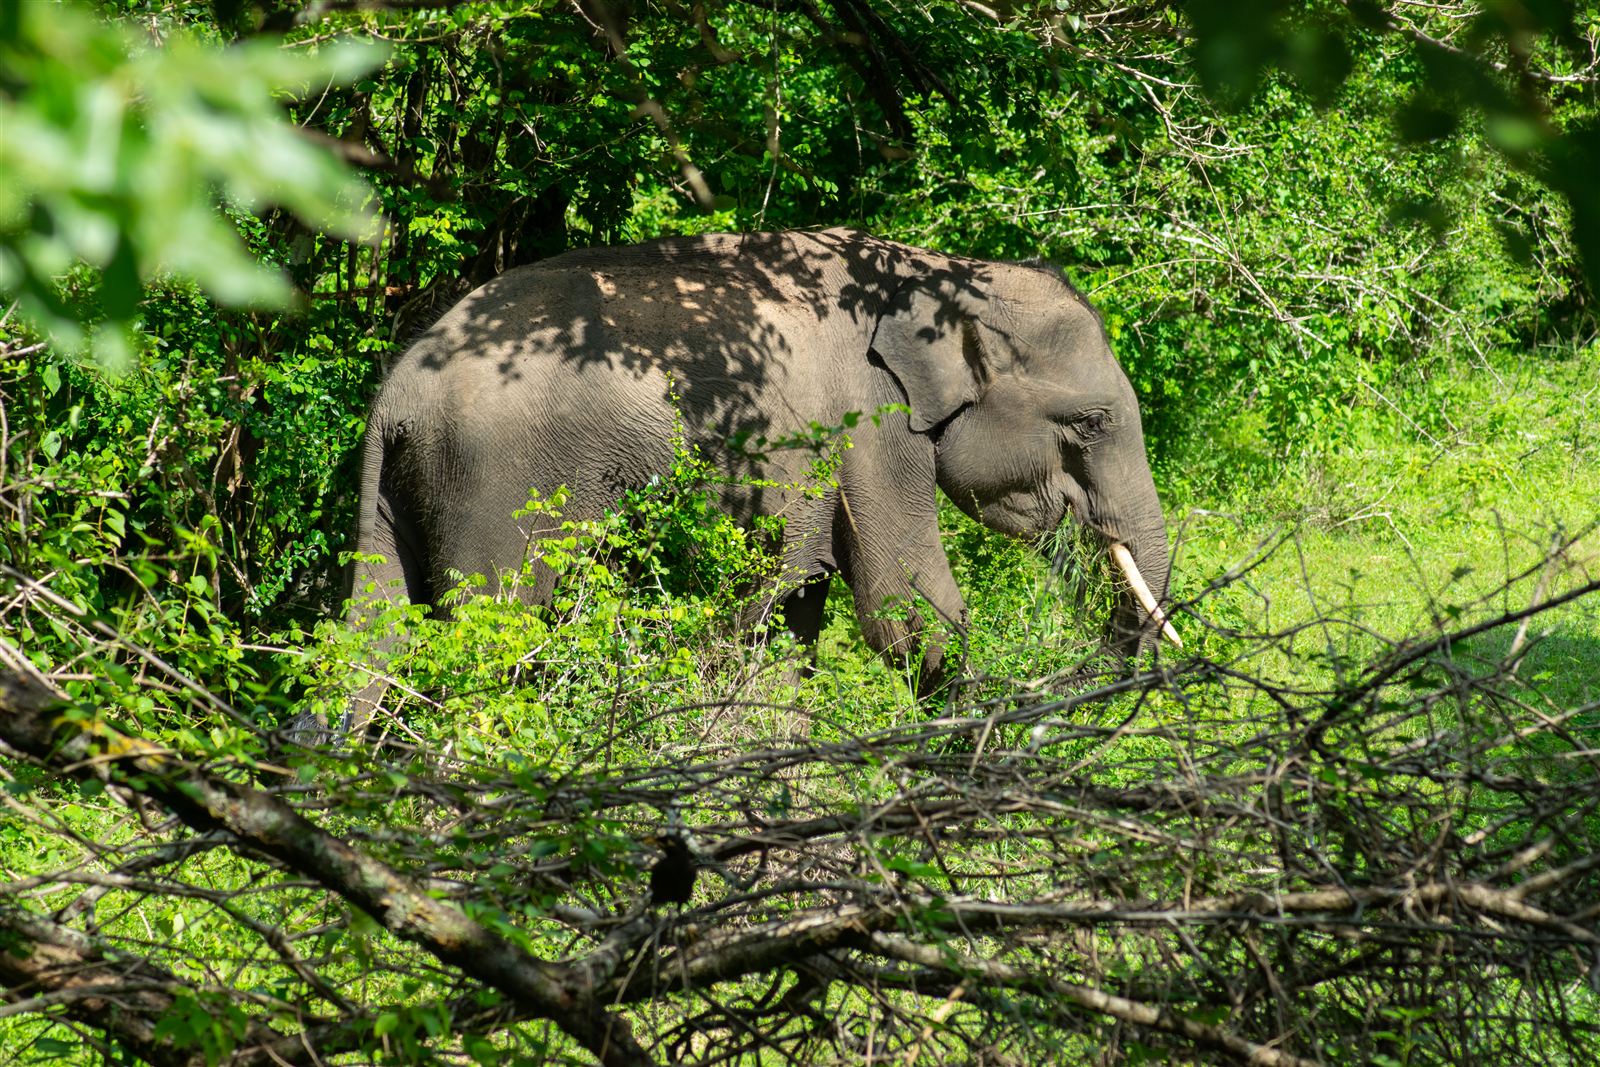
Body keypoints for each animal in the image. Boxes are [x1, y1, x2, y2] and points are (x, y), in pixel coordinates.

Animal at [344, 227, 1177, 724]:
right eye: (1093, 422)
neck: (938, 270)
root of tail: (394, 396)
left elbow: (786, 627)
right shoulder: (867, 424)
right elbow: (908, 607)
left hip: (403, 494)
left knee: (369, 644)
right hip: (493, 482)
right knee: (491, 634)